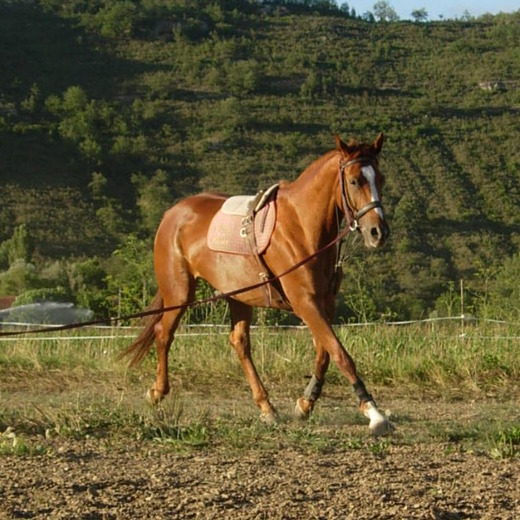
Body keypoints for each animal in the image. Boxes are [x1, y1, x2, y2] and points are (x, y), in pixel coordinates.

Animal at [123, 133, 390, 434]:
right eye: (355, 180)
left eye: (380, 179)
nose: (378, 232)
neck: (302, 226)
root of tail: (172, 213)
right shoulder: (305, 303)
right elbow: (340, 354)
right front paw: (373, 411)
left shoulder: (324, 303)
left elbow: (324, 354)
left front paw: (305, 403)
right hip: (179, 293)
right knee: (164, 333)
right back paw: (157, 392)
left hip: (237, 296)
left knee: (239, 343)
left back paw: (266, 407)